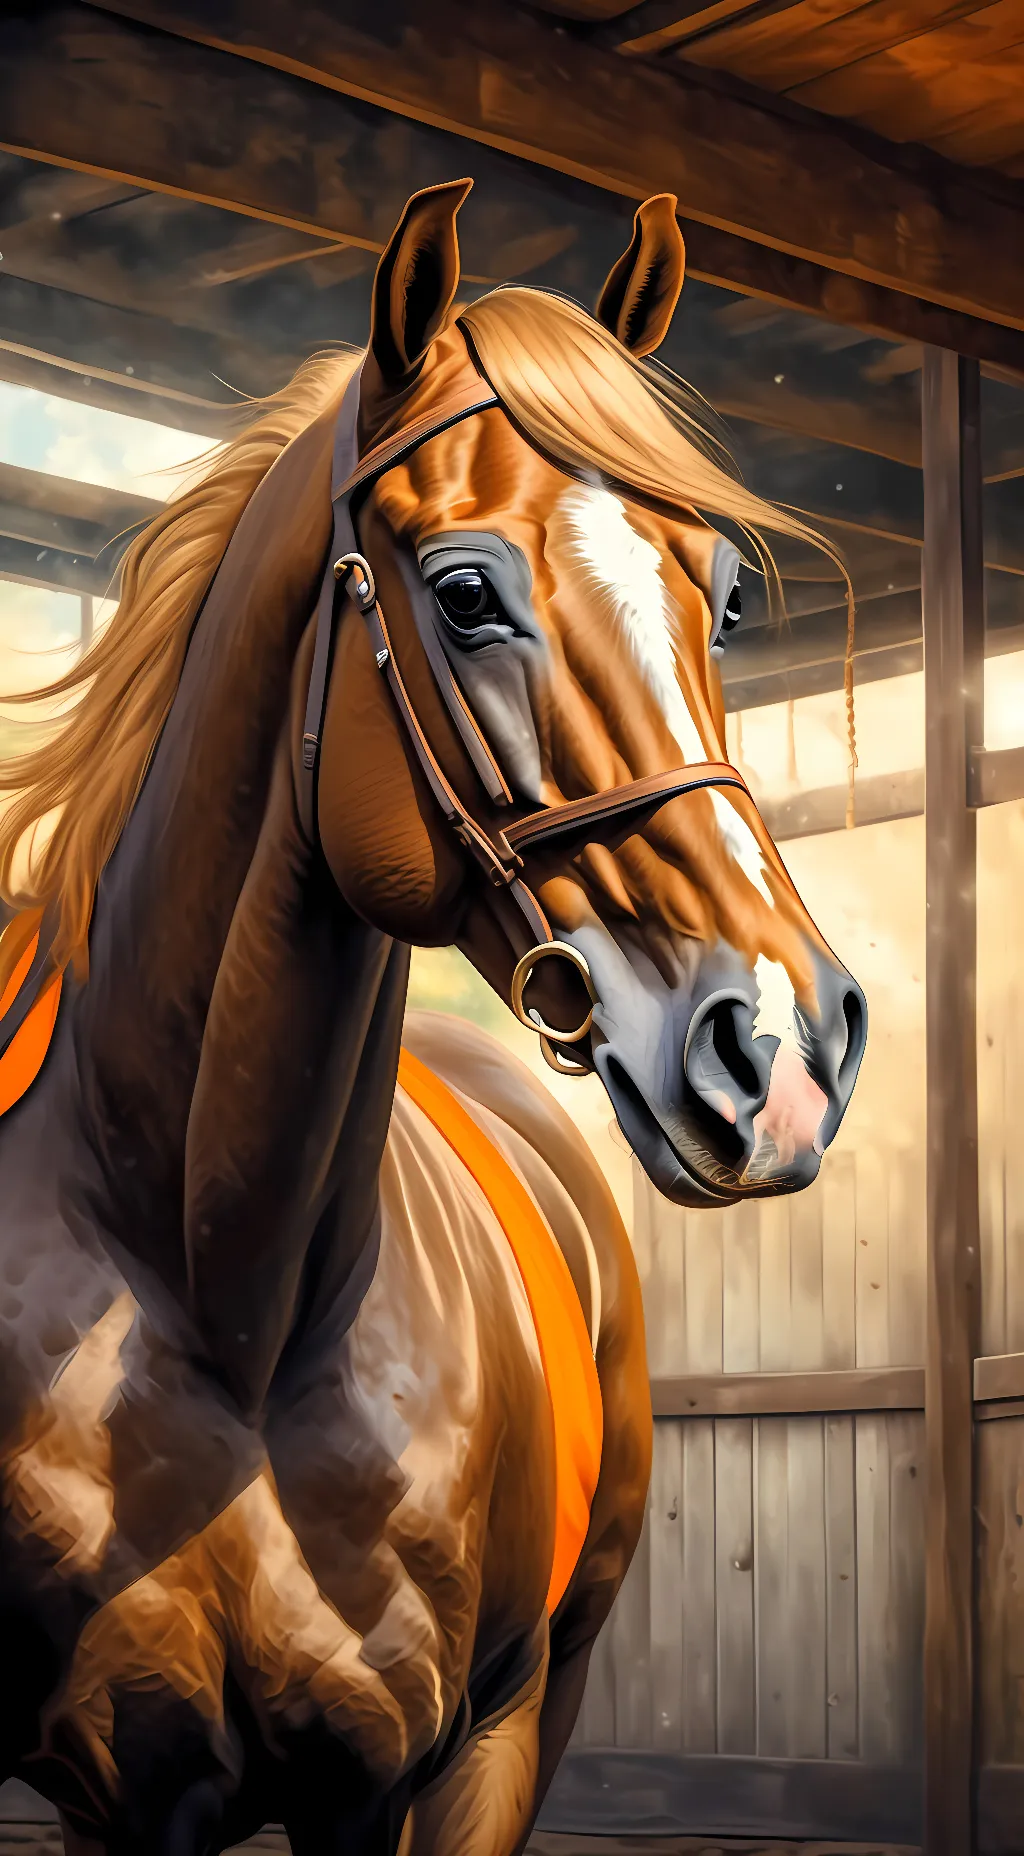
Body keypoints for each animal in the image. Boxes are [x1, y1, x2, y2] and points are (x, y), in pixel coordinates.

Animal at [0, 180, 866, 1855]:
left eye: (725, 597)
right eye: (464, 595)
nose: (782, 1051)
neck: (224, 1294)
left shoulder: (391, 1779)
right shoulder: (118, 1792)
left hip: (532, 1714)